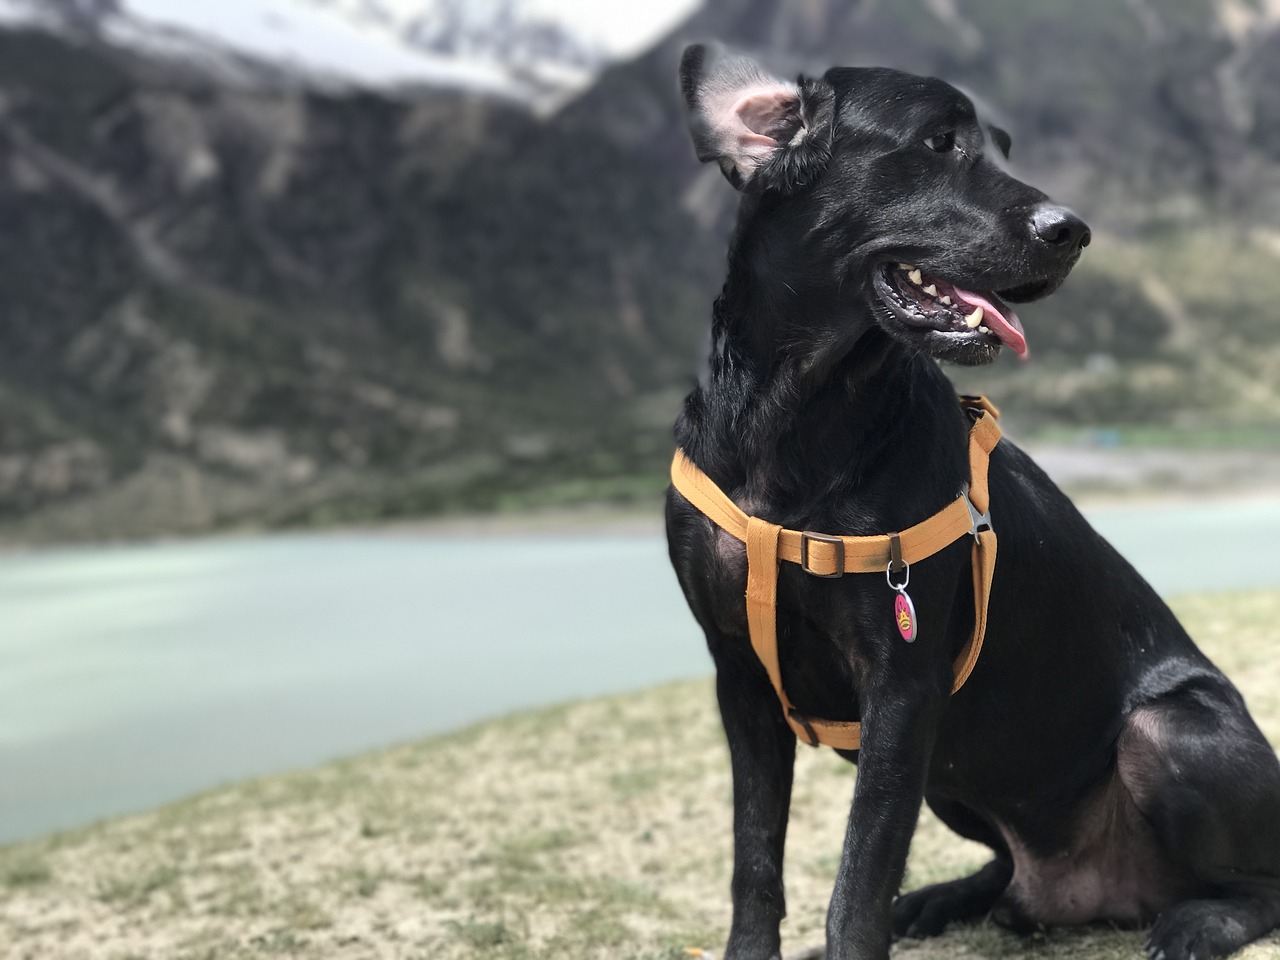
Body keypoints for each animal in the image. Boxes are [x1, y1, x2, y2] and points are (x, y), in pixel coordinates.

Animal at [665, 43, 1280, 960]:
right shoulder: (739, 677)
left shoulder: (902, 691)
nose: (1075, 231)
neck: (796, 416)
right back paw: (947, 898)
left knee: (1258, 882)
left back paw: (1198, 921)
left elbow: (857, 887)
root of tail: (1098, 896)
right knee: (1004, 870)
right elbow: (755, 864)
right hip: (951, 780)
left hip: (1166, 730)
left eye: (1003, 147)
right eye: (939, 142)